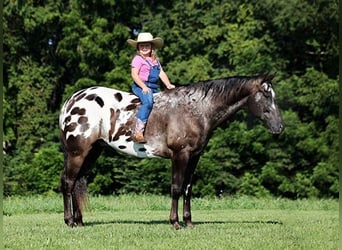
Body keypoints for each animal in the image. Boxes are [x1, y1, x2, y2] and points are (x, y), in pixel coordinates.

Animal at [58, 73, 284, 229]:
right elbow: (176, 187)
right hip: (78, 153)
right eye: (266, 94)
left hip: (92, 152)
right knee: (68, 182)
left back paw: (79, 221)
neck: (197, 109)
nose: (280, 127)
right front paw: (175, 222)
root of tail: (71, 102)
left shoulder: (194, 157)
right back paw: (69, 221)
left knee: (76, 182)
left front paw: (189, 222)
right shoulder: (180, 155)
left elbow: (187, 189)